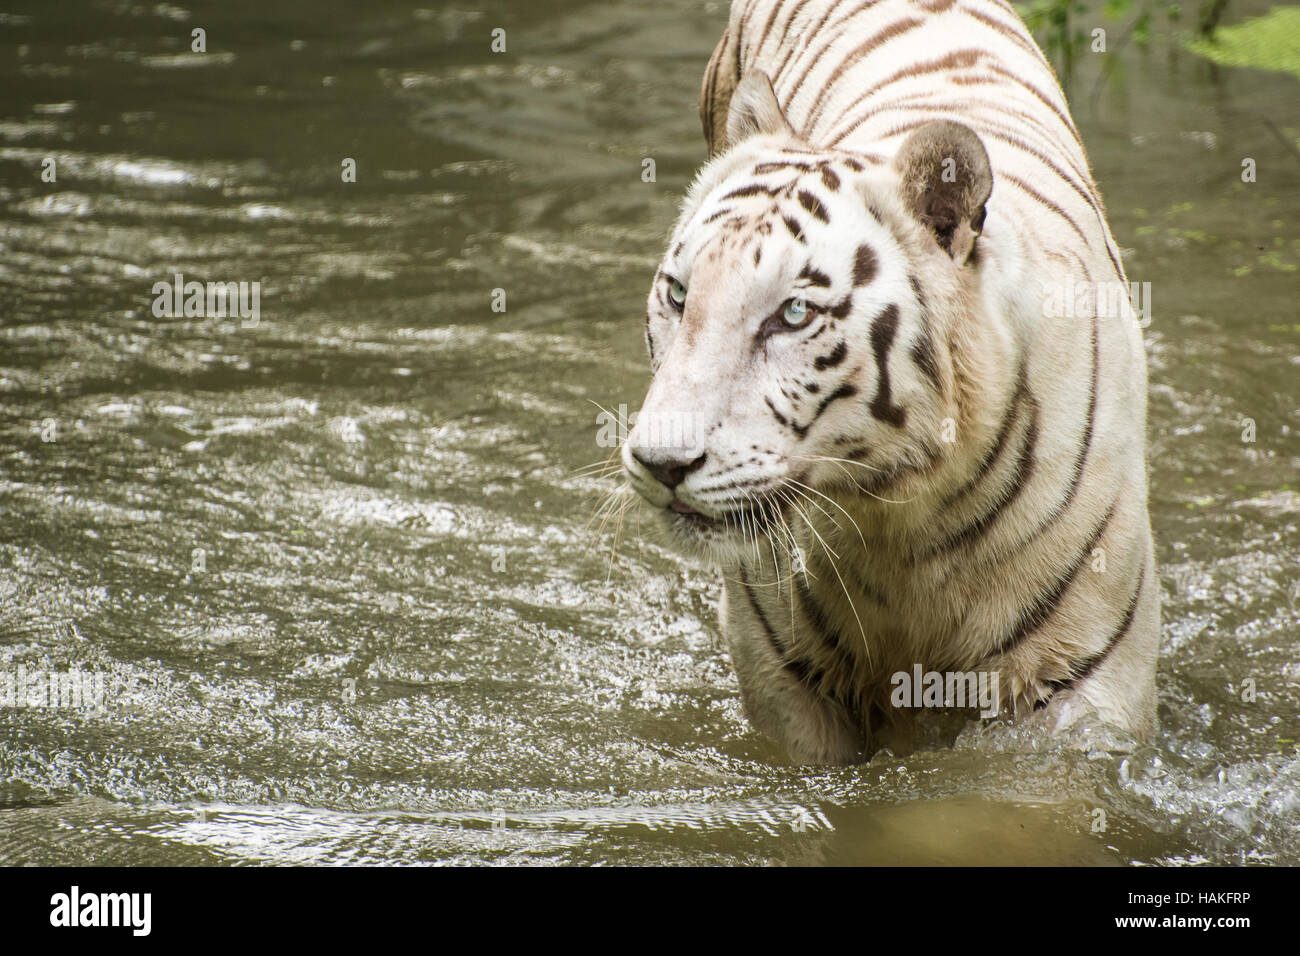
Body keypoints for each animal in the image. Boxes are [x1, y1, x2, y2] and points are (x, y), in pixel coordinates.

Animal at [618, 0, 1159, 764]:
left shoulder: (1080, 677)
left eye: (792, 314)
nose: (660, 463)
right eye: (678, 295)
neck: (900, 517)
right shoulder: (786, 679)